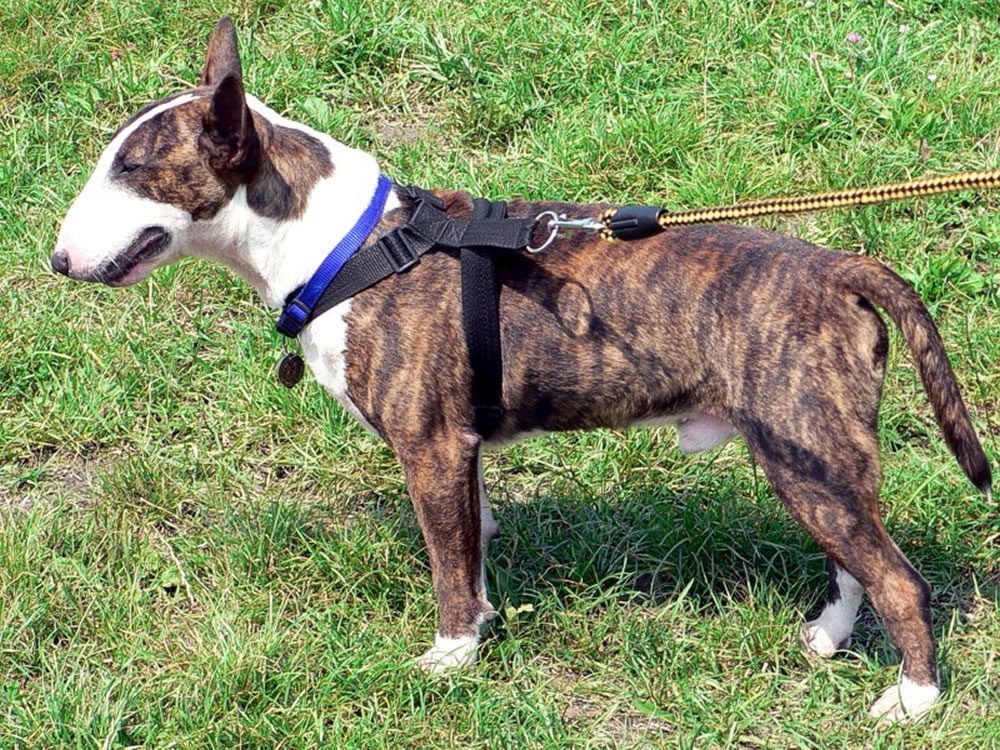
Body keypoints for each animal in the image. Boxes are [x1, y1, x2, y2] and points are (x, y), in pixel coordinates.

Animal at [54, 16, 992, 724]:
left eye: (132, 170)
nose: (57, 260)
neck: (344, 245)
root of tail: (837, 268)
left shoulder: (430, 448)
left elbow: (445, 563)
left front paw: (450, 654)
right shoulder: (460, 450)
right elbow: (468, 546)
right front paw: (479, 621)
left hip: (806, 456)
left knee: (900, 579)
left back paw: (913, 700)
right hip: (818, 462)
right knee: (856, 560)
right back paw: (829, 638)